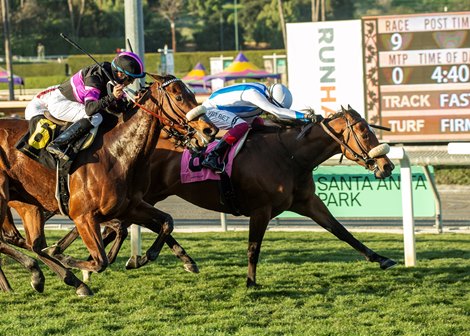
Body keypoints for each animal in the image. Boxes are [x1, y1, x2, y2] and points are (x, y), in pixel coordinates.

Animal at [0, 73, 218, 294]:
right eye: (179, 97)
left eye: (193, 94)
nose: (210, 130)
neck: (117, 152)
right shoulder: (83, 216)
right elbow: (100, 261)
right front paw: (64, 256)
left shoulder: (131, 206)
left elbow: (166, 222)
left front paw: (144, 257)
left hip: (28, 204)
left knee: (32, 243)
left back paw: (47, 277)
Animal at [42, 106, 398, 288]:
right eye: (363, 132)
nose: (387, 165)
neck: (289, 154)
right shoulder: (260, 209)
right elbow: (253, 247)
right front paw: (251, 282)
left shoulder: (308, 202)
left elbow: (342, 231)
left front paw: (381, 258)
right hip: (143, 195)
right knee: (115, 224)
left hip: (143, 197)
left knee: (119, 224)